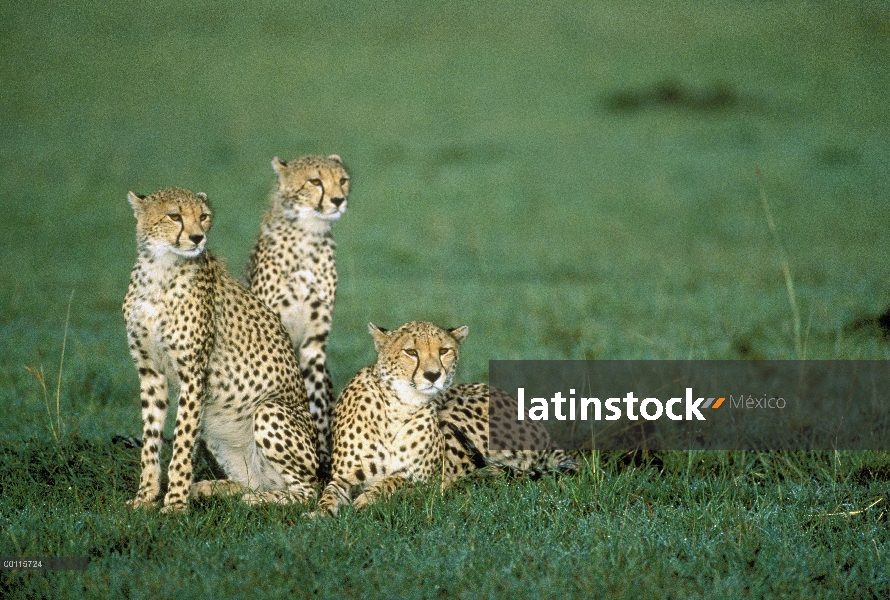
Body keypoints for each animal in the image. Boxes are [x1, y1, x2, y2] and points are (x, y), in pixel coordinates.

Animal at [123, 186, 318, 510]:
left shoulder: (193, 374)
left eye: (203, 216)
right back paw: (210, 489)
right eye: (174, 216)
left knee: (306, 492)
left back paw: (257, 500)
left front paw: (174, 504)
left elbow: (182, 442)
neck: (160, 269)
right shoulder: (150, 370)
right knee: (255, 481)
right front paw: (145, 497)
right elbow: (150, 439)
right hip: (218, 433)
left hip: (268, 410)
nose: (197, 238)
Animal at [245, 156, 352, 478]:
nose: (338, 200)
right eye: (315, 181)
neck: (308, 237)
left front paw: (322, 458)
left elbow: (316, 404)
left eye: (342, 180)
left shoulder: (314, 345)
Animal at [310, 324, 464, 516]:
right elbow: (330, 493)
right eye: (411, 352)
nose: (433, 375)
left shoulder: (430, 483)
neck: (400, 406)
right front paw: (320, 512)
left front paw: (366, 499)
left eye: (444, 351)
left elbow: (394, 480)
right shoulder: (343, 477)